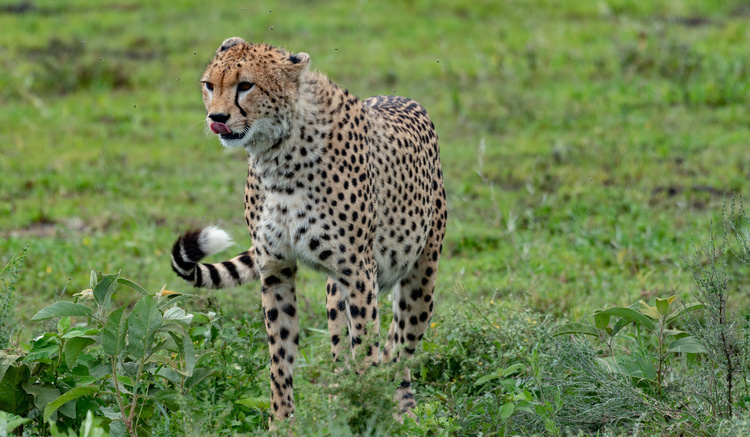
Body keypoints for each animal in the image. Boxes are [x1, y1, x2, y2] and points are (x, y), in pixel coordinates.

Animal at [172, 38, 446, 422]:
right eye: (209, 85)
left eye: (246, 85)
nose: (217, 118)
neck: (278, 154)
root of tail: (404, 99)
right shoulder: (275, 267)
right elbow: (281, 352)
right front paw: (282, 421)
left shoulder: (359, 270)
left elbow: (366, 348)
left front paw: (367, 412)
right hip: (336, 291)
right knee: (347, 347)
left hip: (421, 278)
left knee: (400, 348)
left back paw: (401, 409)